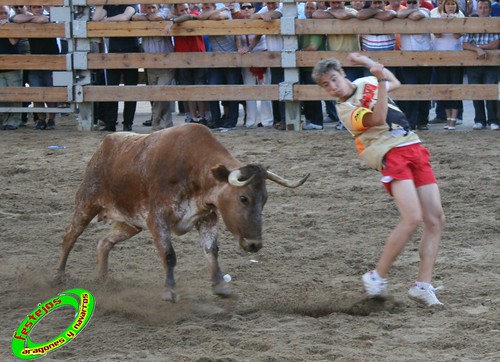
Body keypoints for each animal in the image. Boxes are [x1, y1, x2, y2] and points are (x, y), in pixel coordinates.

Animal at [55, 123, 308, 302]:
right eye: (243, 198)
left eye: (265, 200)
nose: (254, 245)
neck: (193, 168)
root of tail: (105, 145)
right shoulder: (157, 220)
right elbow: (169, 255)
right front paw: (170, 291)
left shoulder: (207, 218)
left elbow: (211, 251)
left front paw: (220, 285)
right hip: (86, 203)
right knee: (70, 235)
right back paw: (58, 276)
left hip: (130, 223)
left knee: (104, 242)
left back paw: (103, 280)